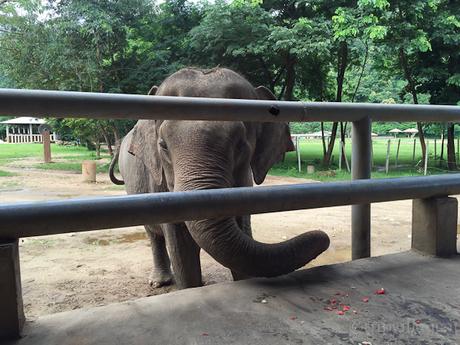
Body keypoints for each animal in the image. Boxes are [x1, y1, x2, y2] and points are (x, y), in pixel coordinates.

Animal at [109, 66, 328, 288]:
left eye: (241, 145)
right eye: (163, 145)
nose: (323, 236)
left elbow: (241, 236)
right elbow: (181, 251)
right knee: (154, 235)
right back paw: (159, 282)